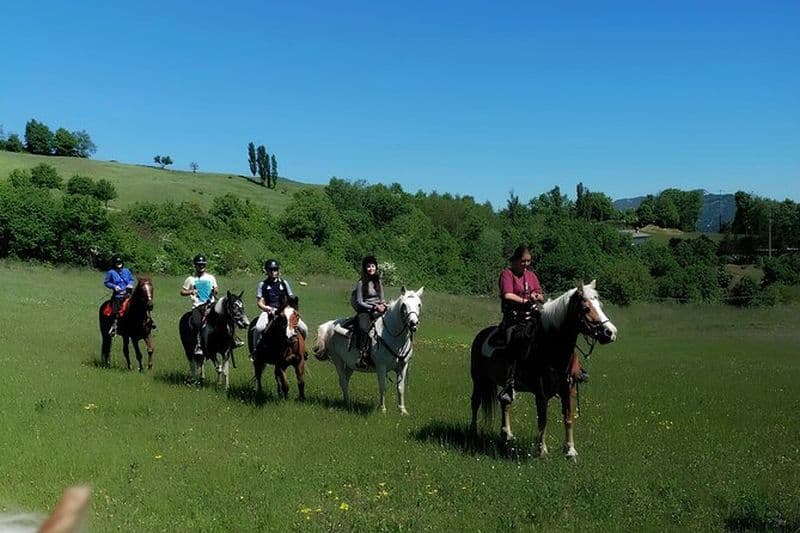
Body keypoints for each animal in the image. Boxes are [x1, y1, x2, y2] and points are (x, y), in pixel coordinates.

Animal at [470, 280, 617, 460]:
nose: (610, 332)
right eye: (585, 308)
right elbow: (542, 421)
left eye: (600, 305)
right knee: (475, 402)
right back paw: (473, 432)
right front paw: (542, 451)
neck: (551, 349)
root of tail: (481, 334)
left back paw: (507, 434)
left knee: (504, 402)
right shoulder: (541, 394)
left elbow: (568, 418)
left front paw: (570, 451)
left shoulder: (569, 390)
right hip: (478, 379)